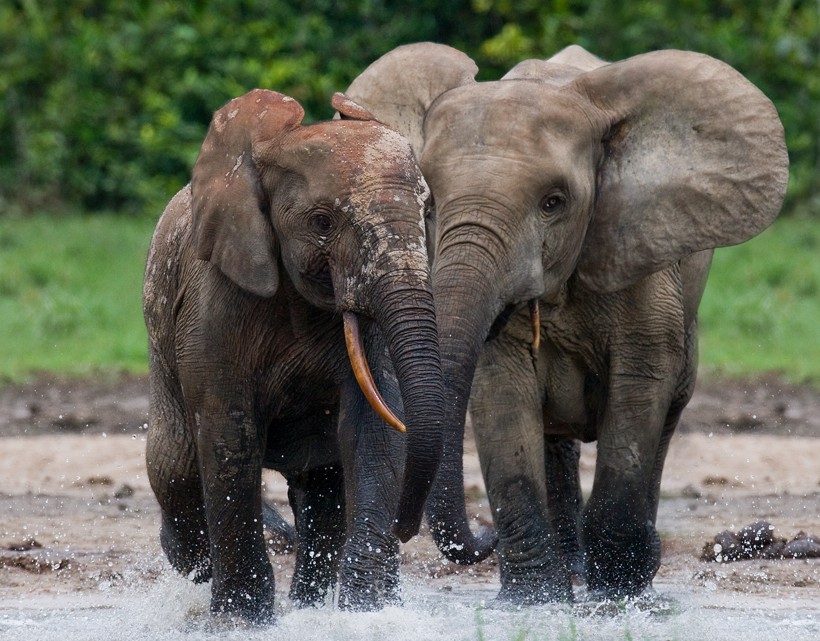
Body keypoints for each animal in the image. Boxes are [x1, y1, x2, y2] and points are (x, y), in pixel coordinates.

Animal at [143, 87, 446, 616]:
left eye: (427, 212)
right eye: (322, 222)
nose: (405, 530)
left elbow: (373, 428)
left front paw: (363, 613)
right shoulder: (212, 304)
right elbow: (229, 435)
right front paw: (242, 620)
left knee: (322, 486)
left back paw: (308, 605)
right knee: (175, 470)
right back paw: (191, 571)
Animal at [344, 42, 788, 604]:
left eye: (553, 203)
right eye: (428, 202)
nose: (483, 539)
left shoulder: (639, 252)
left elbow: (640, 390)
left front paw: (617, 597)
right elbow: (503, 398)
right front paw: (533, 602)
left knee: (666, 416)